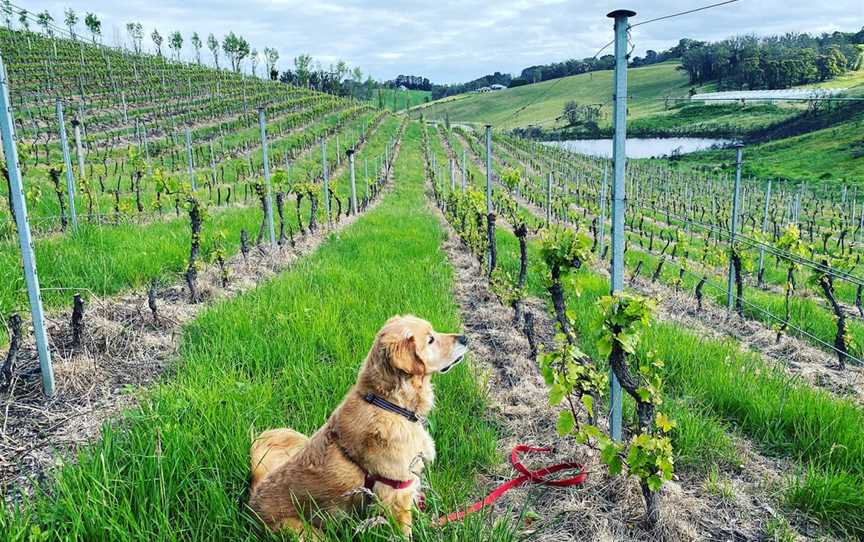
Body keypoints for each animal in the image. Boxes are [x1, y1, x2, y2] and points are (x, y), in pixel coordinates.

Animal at [246, 314, 470, 540]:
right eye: (430, 340)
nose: (465, 338)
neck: (389, 405)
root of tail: (251, 504)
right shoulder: (397, 493)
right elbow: (405, 532)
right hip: (307, 533)